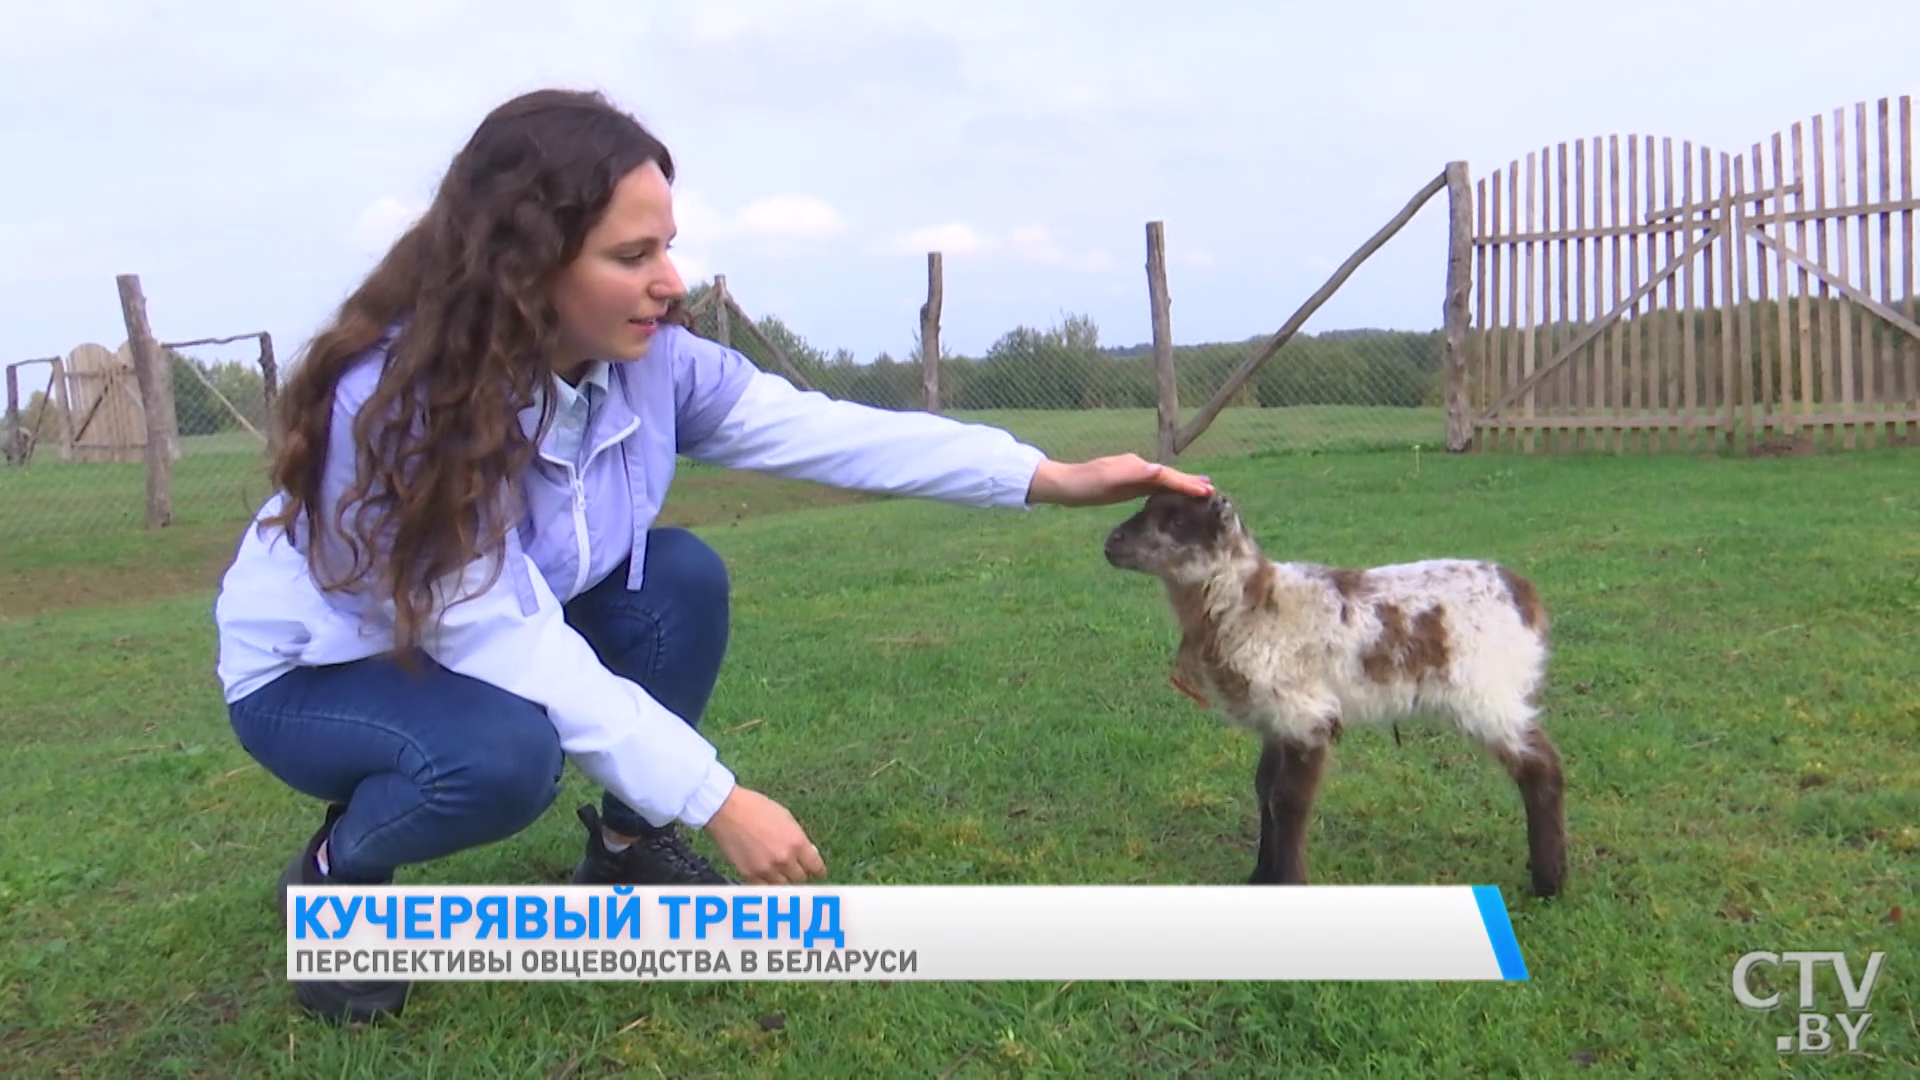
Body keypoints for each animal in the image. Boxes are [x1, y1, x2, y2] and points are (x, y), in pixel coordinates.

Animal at [1105, 491, 1566, 895]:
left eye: (1177, 522)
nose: (1111, 542)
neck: (1252, 603)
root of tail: (1524, 594)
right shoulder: (1276, 717)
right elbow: (1264, 789)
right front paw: (1260, 877)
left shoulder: (1307, 714)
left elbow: (1287, 800)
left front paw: (1289, 882)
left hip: (1486, 691)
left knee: (1541, 766)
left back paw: (1549, 883)